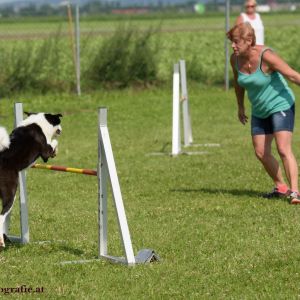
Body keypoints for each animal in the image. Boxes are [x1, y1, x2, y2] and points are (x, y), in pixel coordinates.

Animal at [0, 112, 61, 248]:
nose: (61, 129)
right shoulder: (45, 152)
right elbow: (54, 142)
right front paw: (55, 149)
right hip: (11, 194)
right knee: (1, 216)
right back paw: (2, 241)